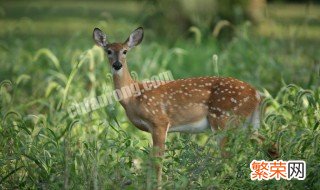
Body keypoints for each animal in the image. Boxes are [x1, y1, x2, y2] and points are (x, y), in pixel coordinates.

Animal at [92, 27, 278, 189]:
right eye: (108, 51)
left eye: (125, 51)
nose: (117, 65)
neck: (134, 96)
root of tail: (256, 94)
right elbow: (151, 161)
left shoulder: (160, 121)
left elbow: (158, 160)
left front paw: (158, 186)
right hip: (246, 123)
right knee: (269, 143)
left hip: (224, 120)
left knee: (229, 158)